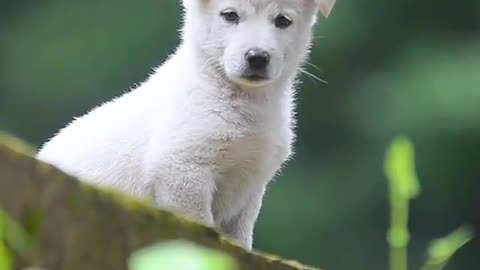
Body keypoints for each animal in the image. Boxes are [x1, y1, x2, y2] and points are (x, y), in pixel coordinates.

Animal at [35, 0, 336, 250]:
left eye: (283, 20)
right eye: (230, 15)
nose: (257, 57)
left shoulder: (251, 185)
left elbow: (240, 237)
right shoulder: (182, 168)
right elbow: (200, 224)